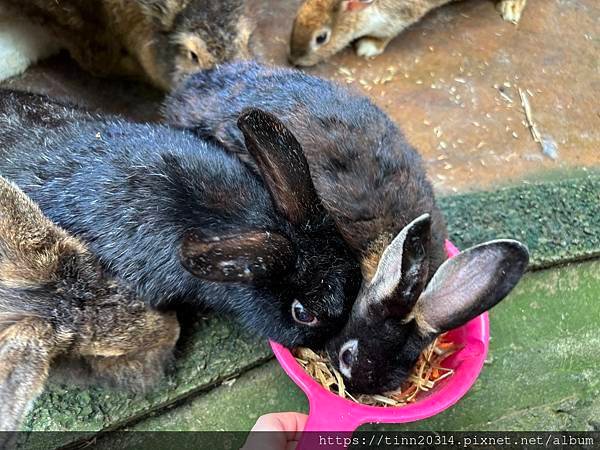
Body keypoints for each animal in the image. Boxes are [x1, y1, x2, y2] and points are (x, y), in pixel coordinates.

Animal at [288, 0, 528, 66]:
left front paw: (367, 48)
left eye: (321, 38)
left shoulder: (396, 18)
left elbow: (384, 36)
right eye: (296, 17)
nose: (293, 60)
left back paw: (510, 9)